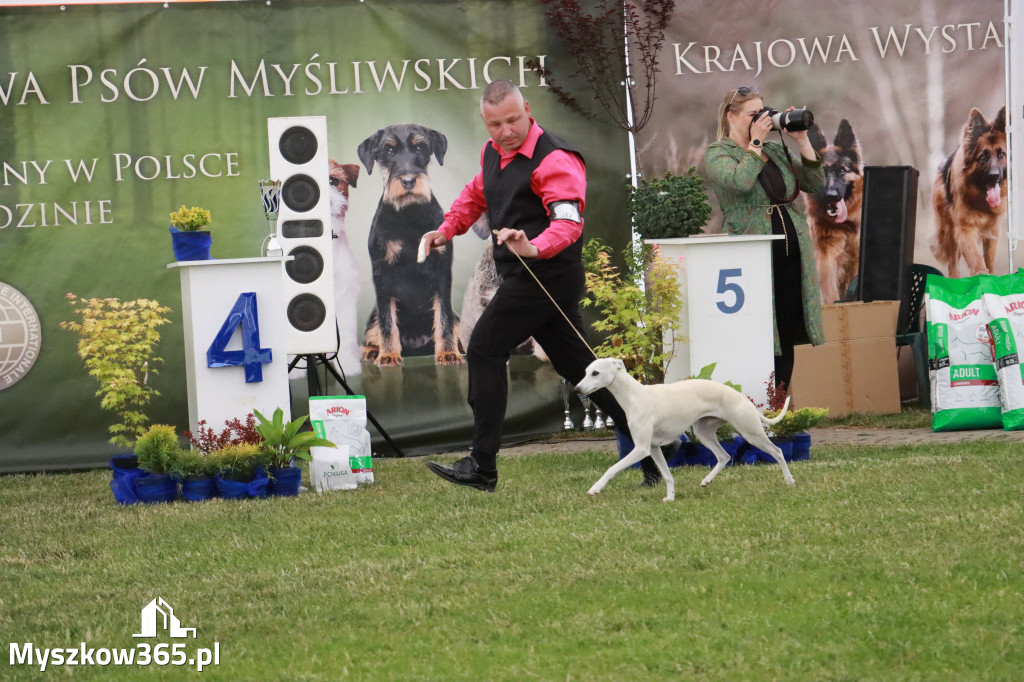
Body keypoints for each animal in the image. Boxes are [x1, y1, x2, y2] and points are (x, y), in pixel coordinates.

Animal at [573, 356, 794, 499]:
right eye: (585, 372)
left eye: (595, 373)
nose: (576, 389)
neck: (635, 396)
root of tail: (740, 396)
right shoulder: (653, 448)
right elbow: (667, 475)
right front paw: (670, 498)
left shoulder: (641, 449)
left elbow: (612, 469)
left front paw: (595, 489)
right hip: (703, 432)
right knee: (724, 456)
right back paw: (706, 481)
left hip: (751, 432)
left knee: (778, 451)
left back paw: (789, 481)